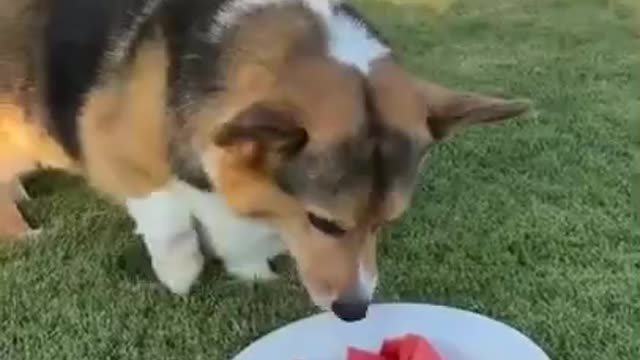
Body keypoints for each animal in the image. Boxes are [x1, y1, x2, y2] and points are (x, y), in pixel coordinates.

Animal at [0, 0, 528, 320]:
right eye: (326, 223)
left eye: (386, 223)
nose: (355, 311)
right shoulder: (122, 152)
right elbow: (168, 220)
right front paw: (181, 275)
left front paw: (253, 272)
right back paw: (24, 233)